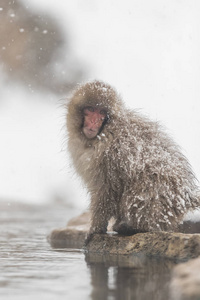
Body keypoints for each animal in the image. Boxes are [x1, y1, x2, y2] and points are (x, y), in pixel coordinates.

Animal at [66, 79, 199, 241]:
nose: (94, 121)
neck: (101, 134)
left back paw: (135, 227)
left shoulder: (112, 154)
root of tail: (186, 198)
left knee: (146, 182)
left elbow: (108, 189)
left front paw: (95, 228)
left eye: (102, 112)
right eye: (90, 109)